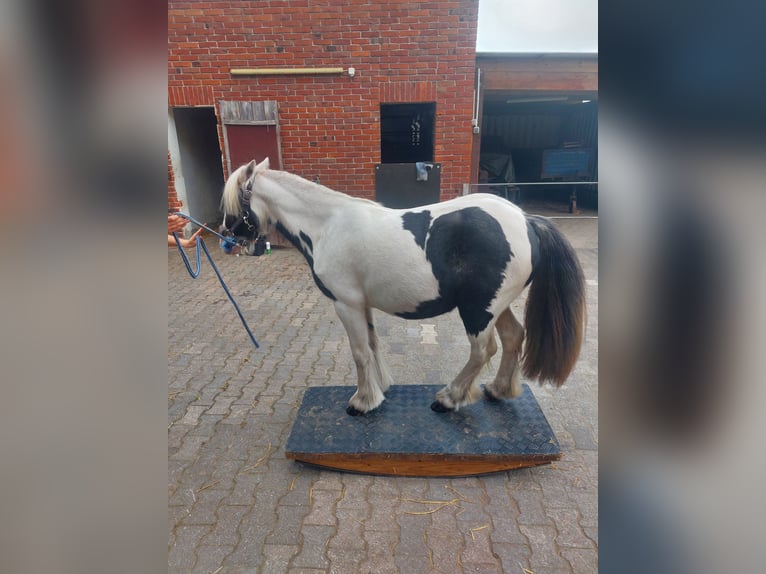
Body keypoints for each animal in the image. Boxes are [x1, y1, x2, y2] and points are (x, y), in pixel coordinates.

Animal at [220, 158, 586, 416]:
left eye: (235, 202)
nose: (228, 239)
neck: (327, 226)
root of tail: (526, 220)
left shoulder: (345, 304)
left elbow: (359, 352)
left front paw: (362, 402)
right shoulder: (362, 304)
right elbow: (372, 345)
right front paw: (380, 390)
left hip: (478, 310)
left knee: (484, 350)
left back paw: (449, 398)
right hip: (496, 305)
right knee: (513, 338)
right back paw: (497, 390)